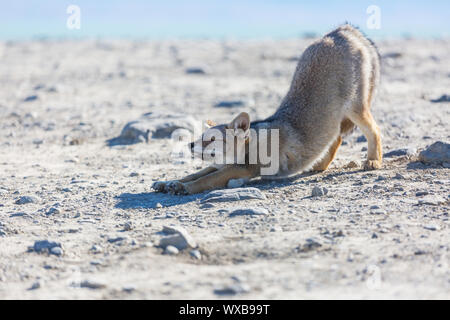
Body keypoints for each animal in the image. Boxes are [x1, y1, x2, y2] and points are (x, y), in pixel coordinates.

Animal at [153, 23, 382, 195]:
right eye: (201, 137)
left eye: (211, 139)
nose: (190, 144)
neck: (250, 144)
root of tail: (341, 29)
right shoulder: (220, 166)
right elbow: (193, 174)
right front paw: (169, 182)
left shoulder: (241, 169)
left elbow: (203, 181)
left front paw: (184, 188)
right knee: (336, 138)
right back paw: (319, 165)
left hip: (355, 109)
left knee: (374, 130)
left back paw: (373, 161)